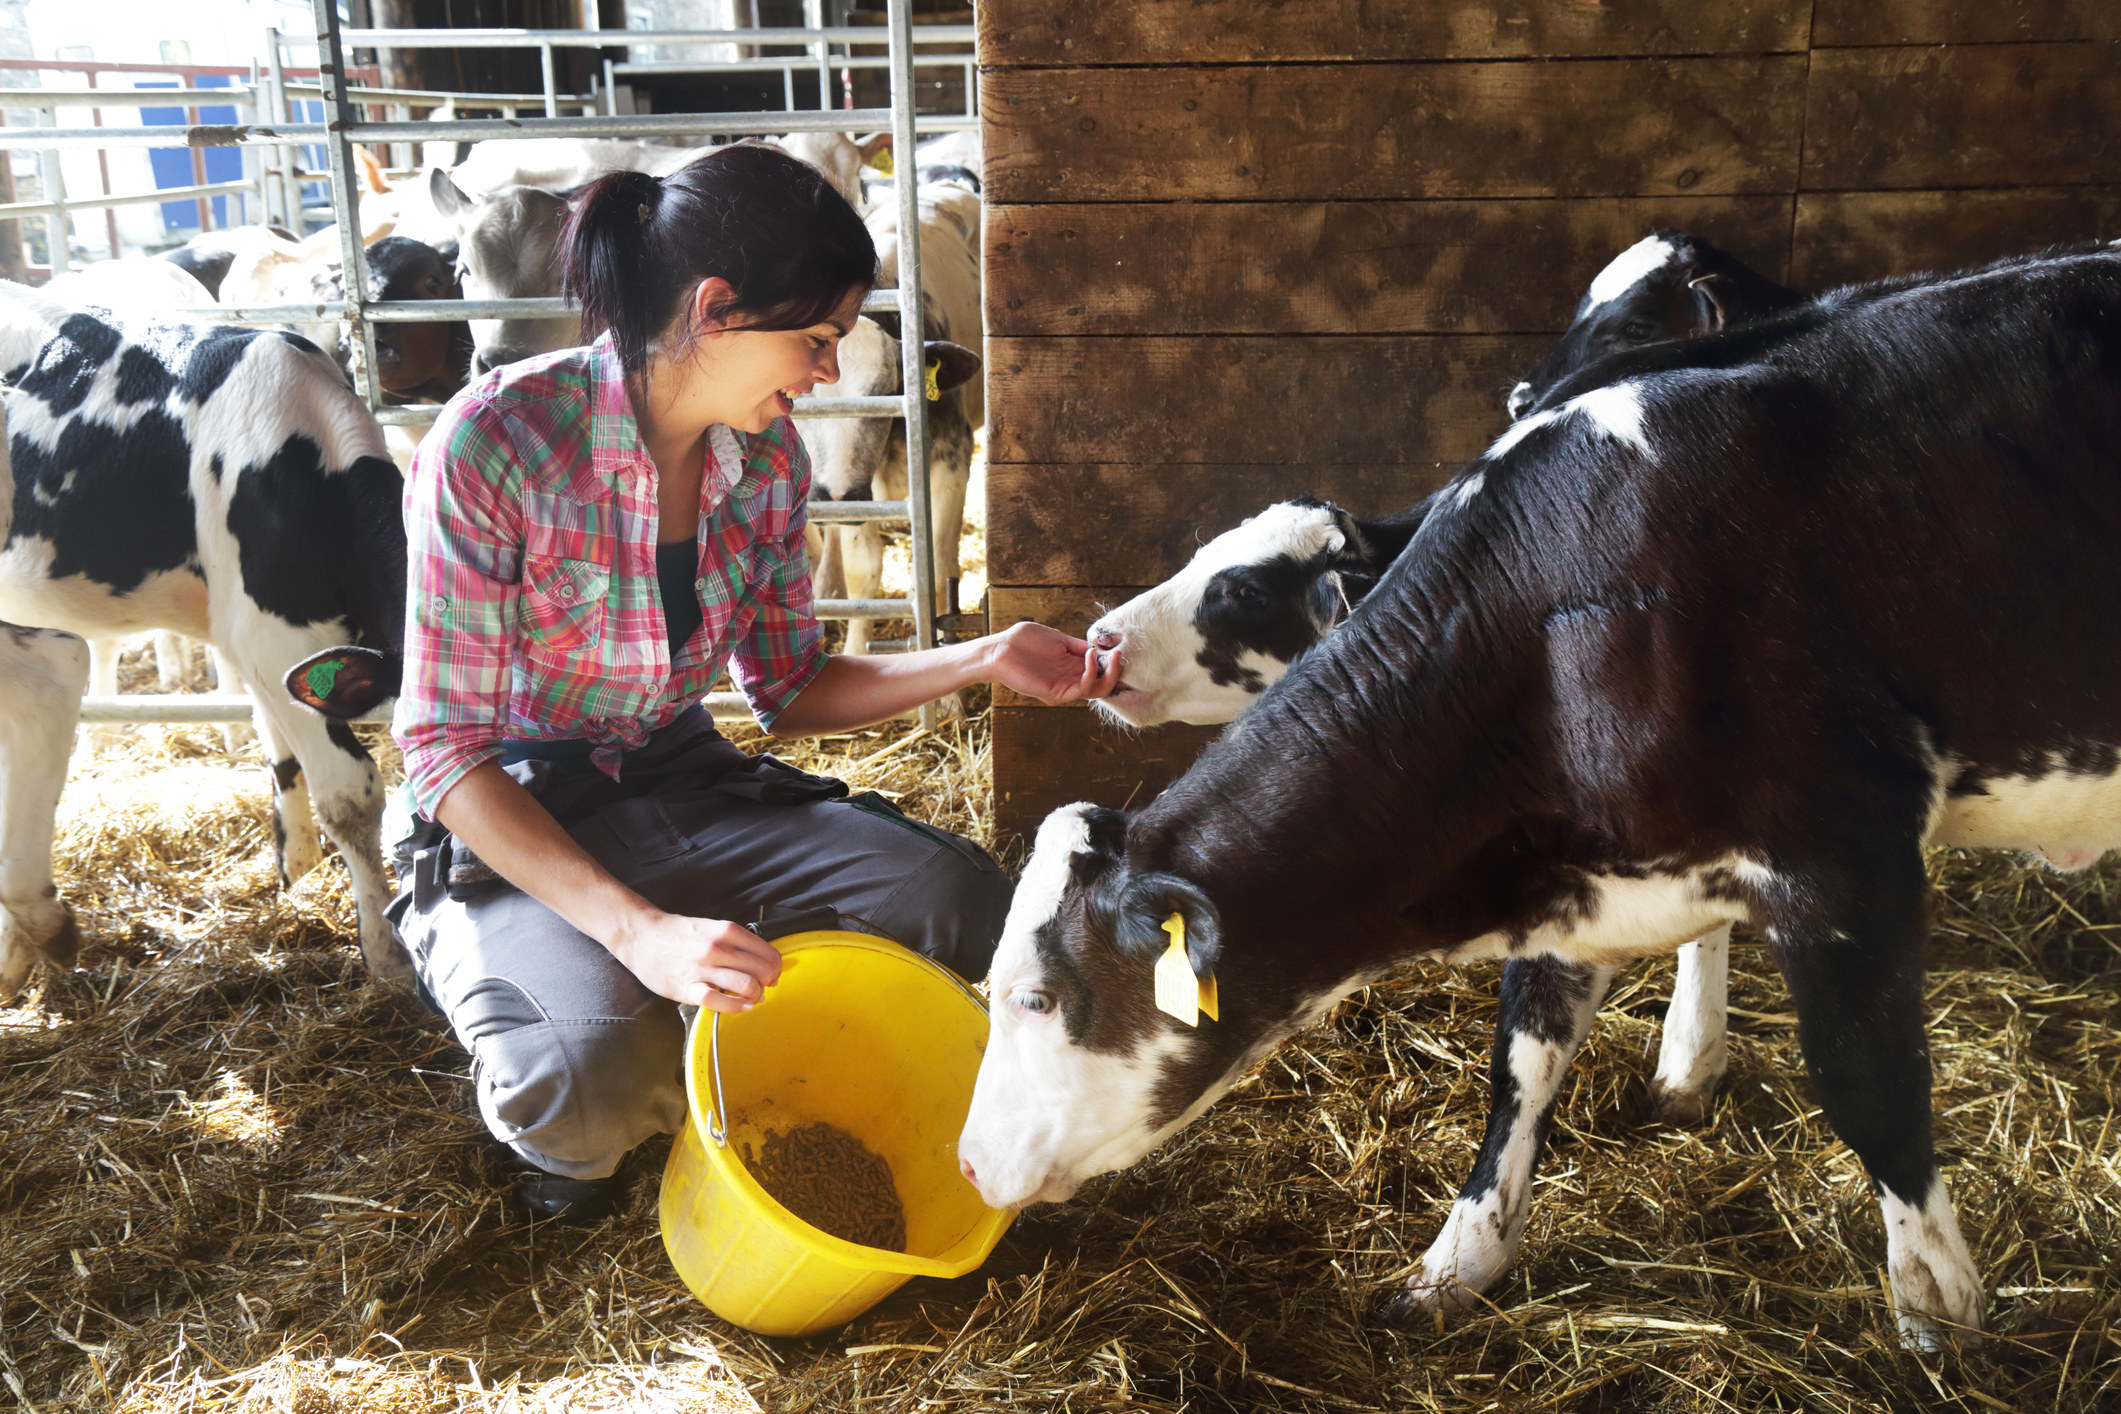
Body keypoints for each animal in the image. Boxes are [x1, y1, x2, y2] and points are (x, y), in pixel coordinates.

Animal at [0, 284, 411, 996]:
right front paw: (386, 955)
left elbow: (280, 752)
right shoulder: (272, 634)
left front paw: (297, 876)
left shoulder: (265, 641)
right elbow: (349, 791)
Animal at [954, 249, 2121, 1356]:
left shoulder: (1845, 864)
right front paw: (1455, 1263)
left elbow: (1873, 1089)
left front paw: (1940, 1315)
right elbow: (1519, 1067)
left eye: (1038, 999)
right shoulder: (1573, 872)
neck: (1568, 619)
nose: (966, 1164)